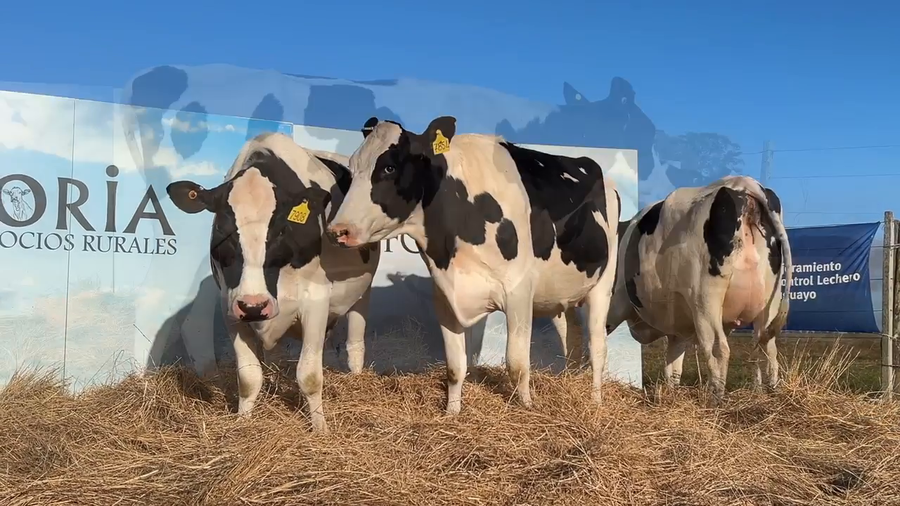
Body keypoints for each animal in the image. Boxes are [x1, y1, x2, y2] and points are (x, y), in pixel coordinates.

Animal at [165, 132, 380, 432]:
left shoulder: (316, 300)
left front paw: (320, 429)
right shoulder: (230, 306)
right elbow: (248, 376)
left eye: (281, 230)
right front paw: (243, 421)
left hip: (363, 292)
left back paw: (357, 376)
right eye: (222, 228)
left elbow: (309, 375)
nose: (254, 305)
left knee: (355, 342)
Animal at [323, 115, 620, 414]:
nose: (338, 231)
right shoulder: (446, 297)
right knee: (573, 339)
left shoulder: (518, 292)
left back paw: (595, 401)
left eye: (389, 167)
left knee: (598, 348)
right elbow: (455, 367)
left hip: (602, 286)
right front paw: (451, 412)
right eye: (352, 168)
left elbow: (517, 364)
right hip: (559, 295)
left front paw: (526, 408)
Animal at [606, 175, 792, 402]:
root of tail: (742, 183)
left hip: (705, 300)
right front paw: (670, 394)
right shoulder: (678, 328)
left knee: (718, 348)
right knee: (767, 346)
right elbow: (673, 366)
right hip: (768, 303)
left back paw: (716, 399)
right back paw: (771, 393)